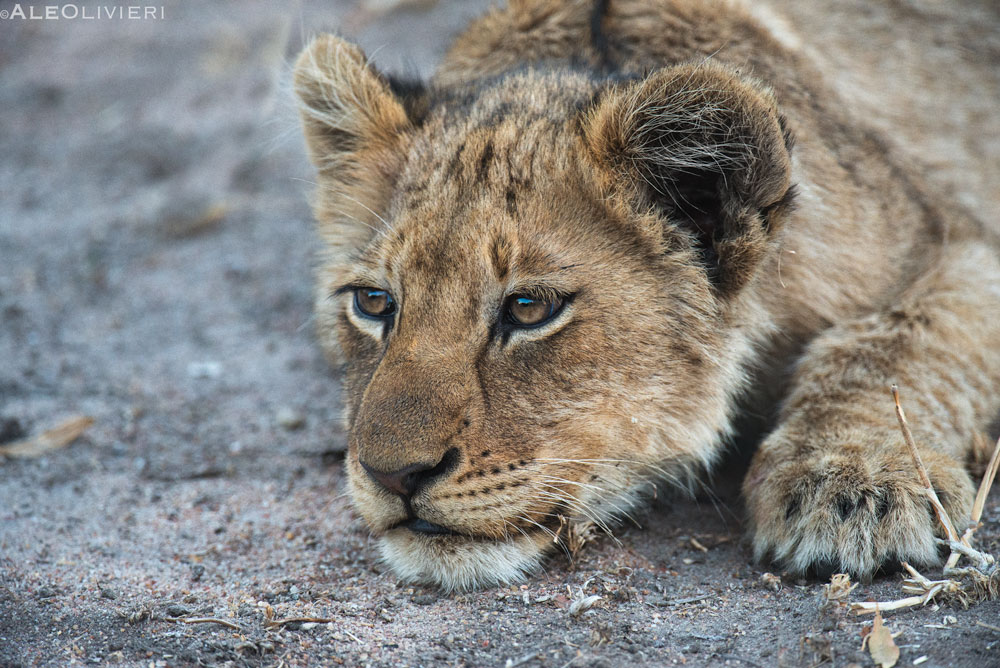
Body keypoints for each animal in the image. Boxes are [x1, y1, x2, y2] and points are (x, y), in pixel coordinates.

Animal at [292, 0, 1000, 591]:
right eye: (374, 303)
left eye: (529, 309)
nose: (393, 476)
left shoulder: (959, 240)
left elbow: (896, 344)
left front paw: (855, 484)